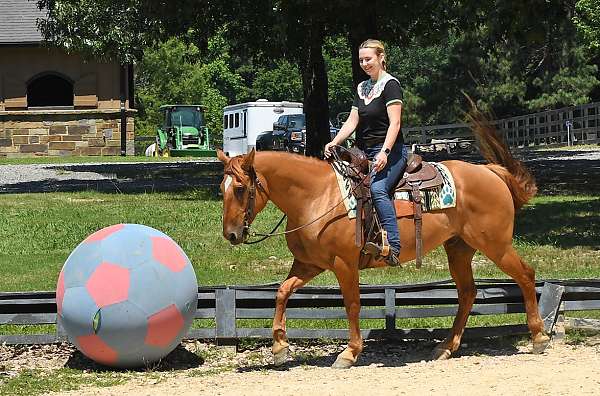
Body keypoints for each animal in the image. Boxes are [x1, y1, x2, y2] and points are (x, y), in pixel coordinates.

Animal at [216, 113, 548, 366]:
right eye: (222, 189)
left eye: (241, 189)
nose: (231, 234)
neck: (318, 196)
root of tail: (491, 172)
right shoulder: (309, 264)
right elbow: (282, 293)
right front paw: (280, 347)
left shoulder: (344, 264)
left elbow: (352, 304)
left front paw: (350, 353)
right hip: (459, 249)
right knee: (467, 293)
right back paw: (446, 347)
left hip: (495, 245)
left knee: (525, 275)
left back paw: (539, 337)